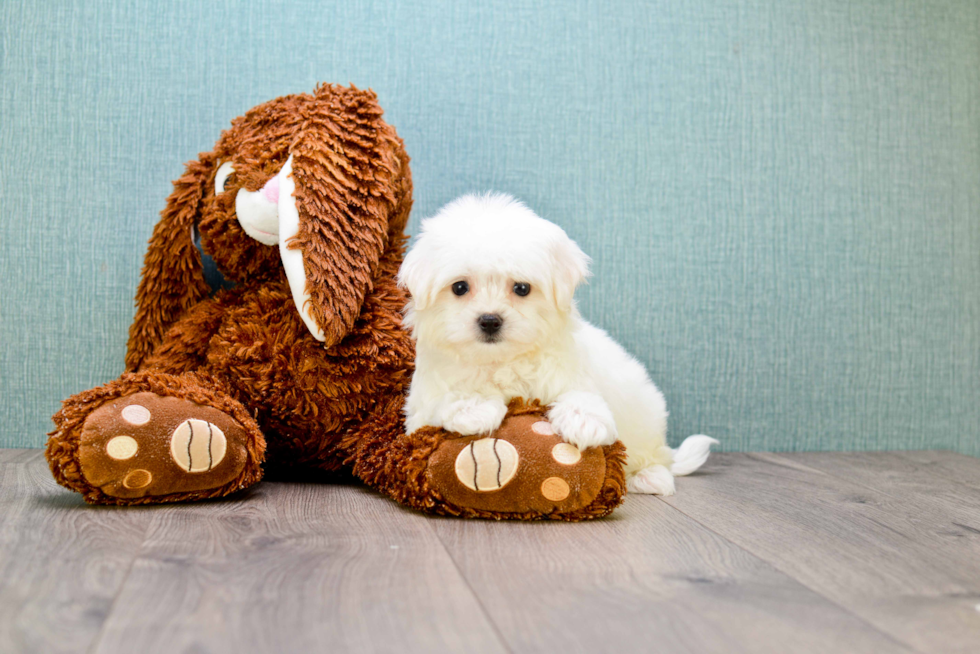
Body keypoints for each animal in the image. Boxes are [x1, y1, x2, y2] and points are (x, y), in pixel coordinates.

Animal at [394, 195, 716, 498]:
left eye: (522, 288)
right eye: (460, 287)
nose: (490, 320)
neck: (502, 361)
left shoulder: (571, 372)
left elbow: (581, 393)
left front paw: (584, 420)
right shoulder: (421, 406)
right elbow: (445, 399)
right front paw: (473, 408)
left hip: (644, 411)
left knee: (655, 453)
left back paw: (650, 476)